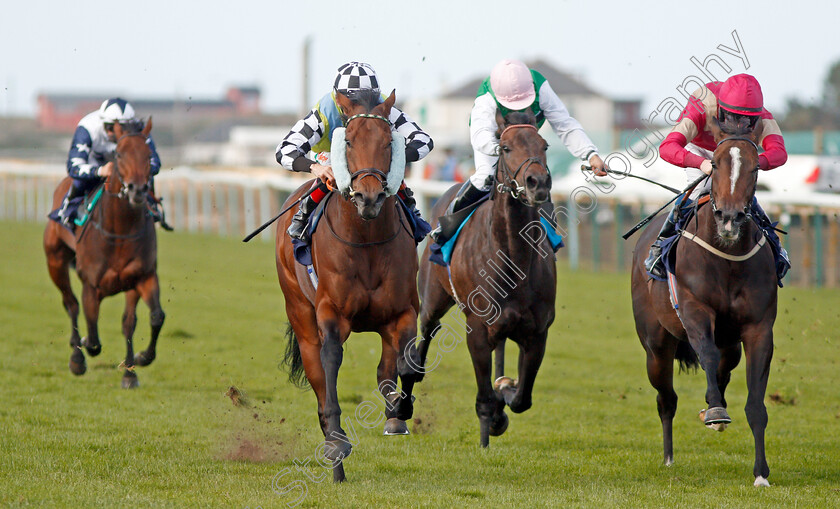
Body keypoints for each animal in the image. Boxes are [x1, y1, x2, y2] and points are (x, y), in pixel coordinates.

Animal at [43, 119, 165, 388]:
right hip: (55, 261)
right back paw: (77, 356)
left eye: (148, 154)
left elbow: (149, 319)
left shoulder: (141, 277)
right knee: (71, 304)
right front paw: (82, 348)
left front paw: (135, 366)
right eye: (119, 154)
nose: (137, 190)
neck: (119, 230)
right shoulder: (91, 285)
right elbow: (94, 337)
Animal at [276, 89, 420, 482]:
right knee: (318, 380)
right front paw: (337, 444)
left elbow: (403, 365)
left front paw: (398, 413)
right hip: (299, 311)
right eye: (349, 141)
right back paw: (334, 453)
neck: (366, 238)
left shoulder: (403, 312)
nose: (368, 197)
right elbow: (331, 365)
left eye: (389, 142)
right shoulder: (331, 314)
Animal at [416, 110, 556, 444]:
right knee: (426, 332)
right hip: (433, 298)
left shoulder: (537, 332)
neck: (514, 259)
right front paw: (488, 426)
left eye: (544, 145)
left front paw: (504, 394)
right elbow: (483, 398)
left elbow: (521, 399)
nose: (537, 183)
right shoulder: (477, 330)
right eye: (505, 147)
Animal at [632, 125, 776, 486]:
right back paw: (669, 457)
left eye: (756, 167)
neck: (727, 257)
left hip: (731, 344)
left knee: (724, 368)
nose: (730, 218)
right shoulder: (695, 309)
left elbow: (756, 404)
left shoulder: (758, 328)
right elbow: (706, 354)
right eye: (714, 163)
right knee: (666, 398)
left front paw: (761, 474)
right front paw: (715, 412)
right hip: (656, 345)